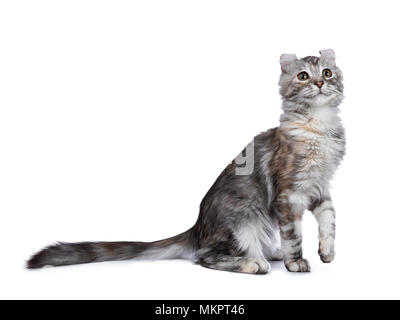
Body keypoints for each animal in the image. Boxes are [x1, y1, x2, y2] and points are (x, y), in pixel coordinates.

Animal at [28, 49, 346, 272]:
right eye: (303, 76)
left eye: (327, 72)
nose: (320, 82)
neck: (319, 127)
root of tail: (197, 227)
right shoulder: (289, 195)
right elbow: (293, 236)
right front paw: (296, 262)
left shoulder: (321, 188)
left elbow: (329, 222)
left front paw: (327, 252)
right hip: (244, 221)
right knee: (206, 257)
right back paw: (254, 263)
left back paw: (270, 253)